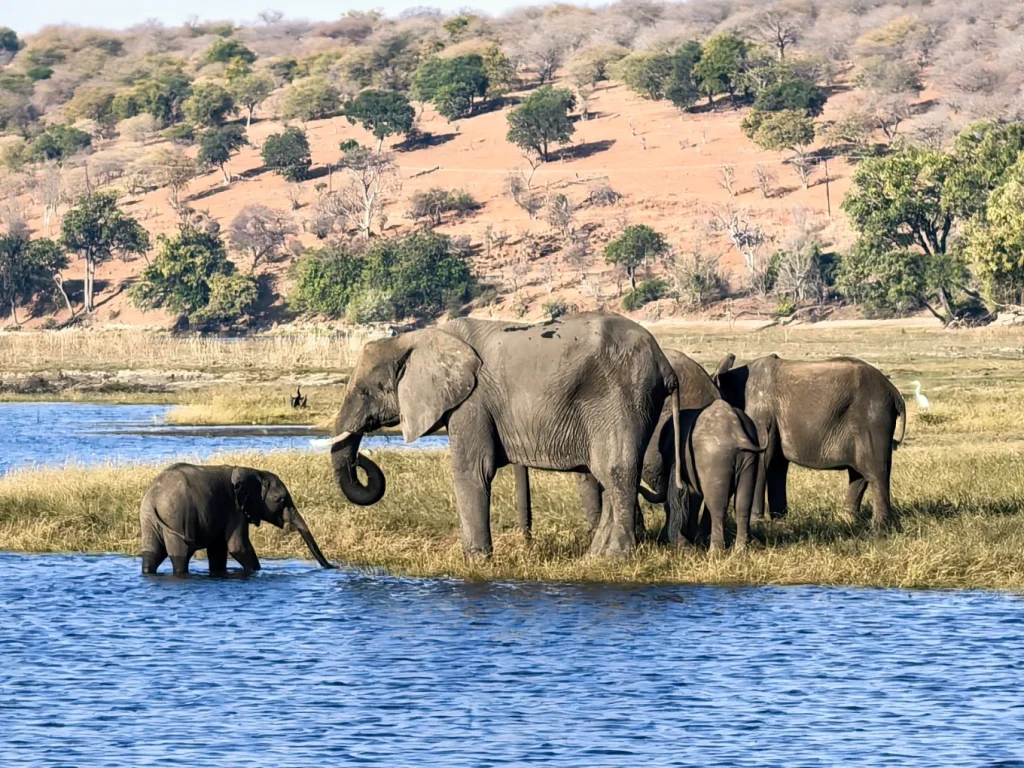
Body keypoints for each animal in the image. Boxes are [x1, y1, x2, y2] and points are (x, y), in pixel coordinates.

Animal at [139, 463, 334, 576]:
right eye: (281, 500)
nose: (332, 567)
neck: (253, 472)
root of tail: (153, 498)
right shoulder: (235, 508)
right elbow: (237, 547)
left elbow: (218, 552)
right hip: (176, 516)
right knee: (180, 556)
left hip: (149, 519)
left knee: (152, 554)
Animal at [328, 312, 681, 558]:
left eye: (366, 390)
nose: (362, 461)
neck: (419, 338)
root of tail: (664, 363)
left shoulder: (472, 401)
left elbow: (471, 470)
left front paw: (475, 560)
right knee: (608, 475)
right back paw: (594, 557)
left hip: (621, 396)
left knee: (616, 471)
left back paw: (616, 558)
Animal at [713, 354, 906, 529]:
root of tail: (895, 394)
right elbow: (777, 464)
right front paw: (780, 521)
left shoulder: (760, 414)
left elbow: (762, 460)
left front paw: (757, 523)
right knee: (859, 473)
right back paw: (847, 519)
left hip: (873, 419)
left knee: (875, 471)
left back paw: (879, 527)